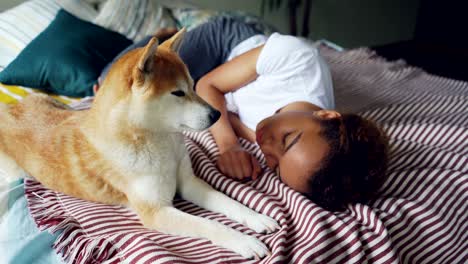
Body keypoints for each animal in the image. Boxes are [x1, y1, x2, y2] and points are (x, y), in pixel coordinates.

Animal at [0, 29, 278, 258]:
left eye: (192, 85)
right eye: (178, 93)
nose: (217, 114)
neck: (160, 142)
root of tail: (10, 109)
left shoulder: (189, 184)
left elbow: (228, 202)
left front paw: (257, 218)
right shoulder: (156, 211)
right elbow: (210, 224)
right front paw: (243, 241)